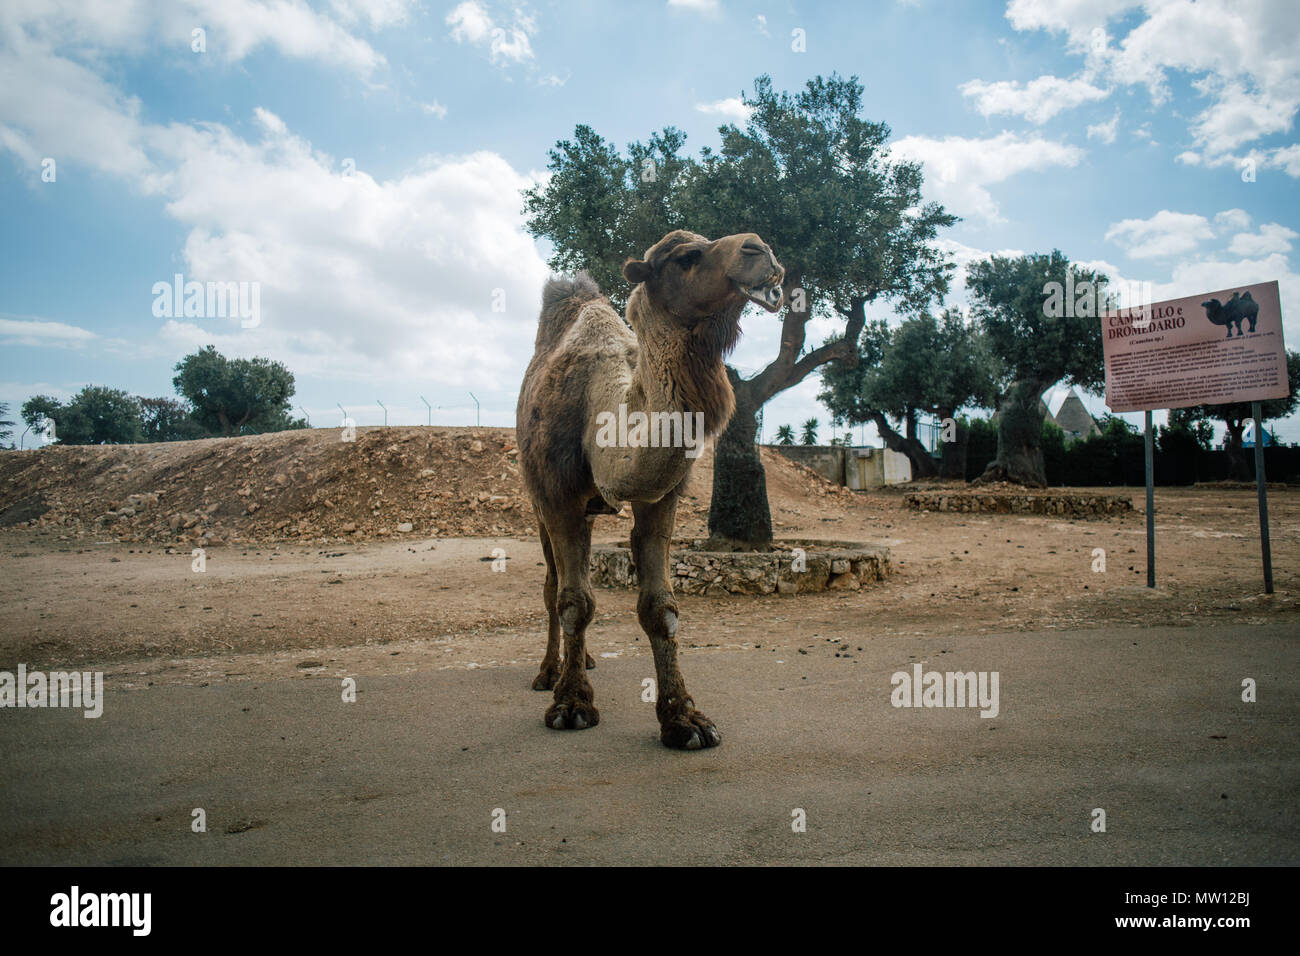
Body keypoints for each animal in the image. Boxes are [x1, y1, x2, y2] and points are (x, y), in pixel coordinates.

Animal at [515, 230, 785, 749]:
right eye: (686, 257)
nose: (761, 250)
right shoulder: (558, 497)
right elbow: (573, 600)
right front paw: (571, 705)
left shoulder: (660, 499)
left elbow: (660, 607)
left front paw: (684, 720)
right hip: (537, 502)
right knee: (553, 584)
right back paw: (549, 673)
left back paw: (585, 660)